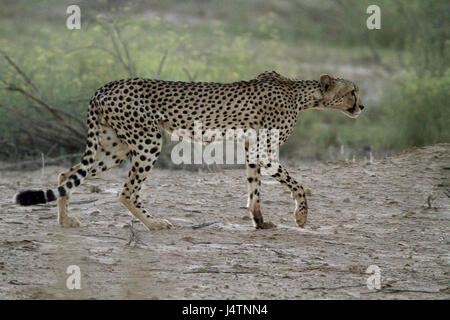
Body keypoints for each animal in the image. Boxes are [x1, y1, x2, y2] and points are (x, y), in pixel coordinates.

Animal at [14, 70, 366, 230]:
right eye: (352, 91)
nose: (362, 106)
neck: (299, 94)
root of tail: (103, 87)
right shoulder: (264, 152)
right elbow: (298, 184)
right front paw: (301, 215)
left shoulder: (252, 149)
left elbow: (254, 189)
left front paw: (259, 222)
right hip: (147, 140)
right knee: (126, 191)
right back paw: (155, 224)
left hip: (115, 146)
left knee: (66, 173)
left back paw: (64, 220)